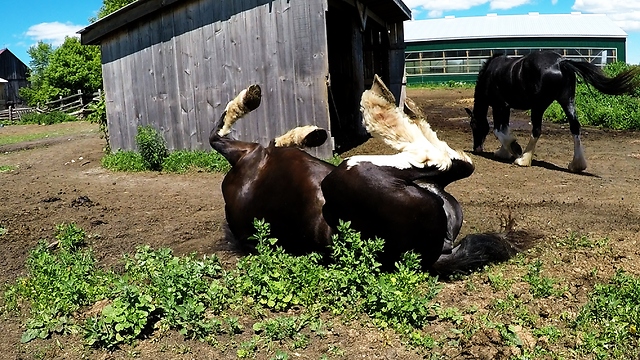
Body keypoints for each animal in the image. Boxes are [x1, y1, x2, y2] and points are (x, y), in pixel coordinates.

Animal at [210, 79, 536, 276]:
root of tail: (434, 253)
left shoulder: (249, 151)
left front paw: (306, 134)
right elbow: (217, 135)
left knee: (452, 160)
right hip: (351, 169)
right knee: (442, 156)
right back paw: (383, 104)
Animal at [464, 50, 640, 173]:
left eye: (473, 125)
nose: (477, 148)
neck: (490, 73)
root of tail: (561, 62)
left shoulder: (500, 105)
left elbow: (498, 130)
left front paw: (514, 148)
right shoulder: (505, 107)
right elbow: (504, 127)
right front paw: (504, 151)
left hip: (539, 106)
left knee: (536, 130)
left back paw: (524, 160)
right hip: (567, 101)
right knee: (575, 127)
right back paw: (577, 164)